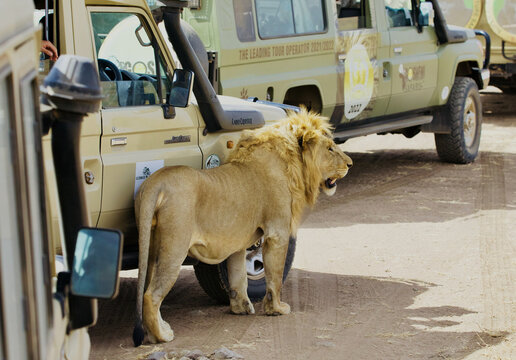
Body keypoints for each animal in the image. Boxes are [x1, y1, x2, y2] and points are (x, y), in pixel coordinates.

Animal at [131, 109, 352, 346]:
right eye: (330, 148)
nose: (350, 164)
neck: (293, 164)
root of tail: (155, 183)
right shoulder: (277, 232)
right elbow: (274, 276)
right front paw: (276, 309)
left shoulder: (238, 241)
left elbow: (238, 277)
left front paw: (241, 308)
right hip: (174, 247)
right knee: (151, 294)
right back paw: (161, 336)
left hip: (151, 245)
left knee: (145, 288)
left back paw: (157, 329)